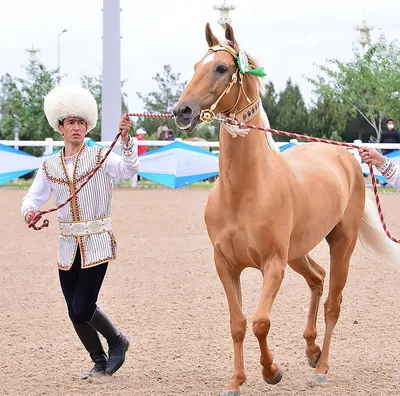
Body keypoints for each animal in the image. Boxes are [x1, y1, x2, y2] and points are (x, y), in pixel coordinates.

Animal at [173, 23, 398, 394]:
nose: (182, 111)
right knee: (317, 279)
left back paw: (321, 367)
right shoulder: (225, 265)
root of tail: (346, 155)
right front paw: (236, 381)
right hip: (299, 252)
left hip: (341, 244)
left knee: (333, 303)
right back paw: (311, 349)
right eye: (194, 67)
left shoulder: (273, 265)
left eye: (220, 68)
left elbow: (261, 322)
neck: (244, 191)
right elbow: (238, 323)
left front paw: (271, 371)